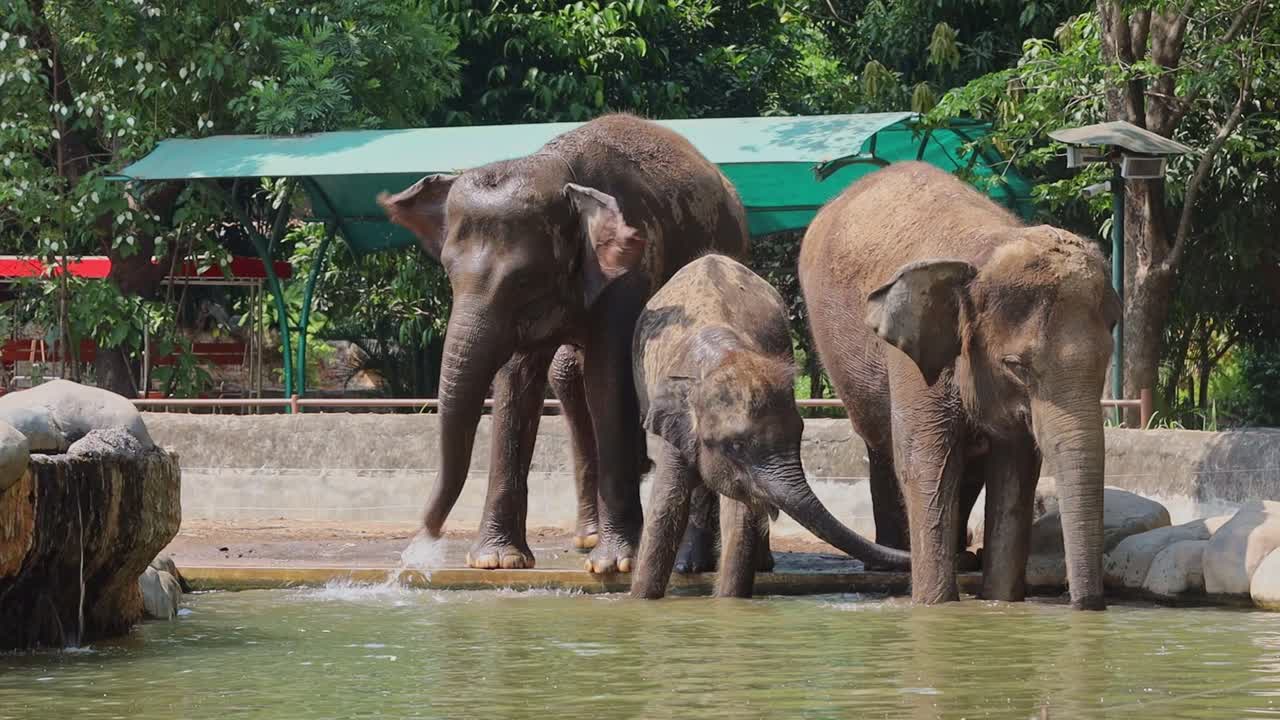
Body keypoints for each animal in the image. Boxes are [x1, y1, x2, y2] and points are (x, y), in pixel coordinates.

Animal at [378, 114, 750, 574]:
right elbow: (516, 380)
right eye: (447, 271)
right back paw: (591, 538)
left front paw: (615, 564)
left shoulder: (633, 263)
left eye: (523, 279)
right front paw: (497, 560)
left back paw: (688, 562)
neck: (559, 168)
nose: (419, 546)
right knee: (567, 373)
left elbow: (608, 377)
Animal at [630, 254, 911, 599]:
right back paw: (691, 566)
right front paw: (640, 600)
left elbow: (740, 514)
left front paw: (730, 601)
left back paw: (760, 564)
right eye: (735, 445)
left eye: (800, 434)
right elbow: (665, 506)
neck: (722, 352)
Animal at [798, 162, 1119, 609]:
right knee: (882, 447)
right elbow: (926, 462)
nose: (1086, 604)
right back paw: (892, 561)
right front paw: (935, 606)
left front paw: (1000, 602)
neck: (986, 252)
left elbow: (1015, 468)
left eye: (1107, 359)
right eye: (1016, 366)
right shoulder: (909, 359)